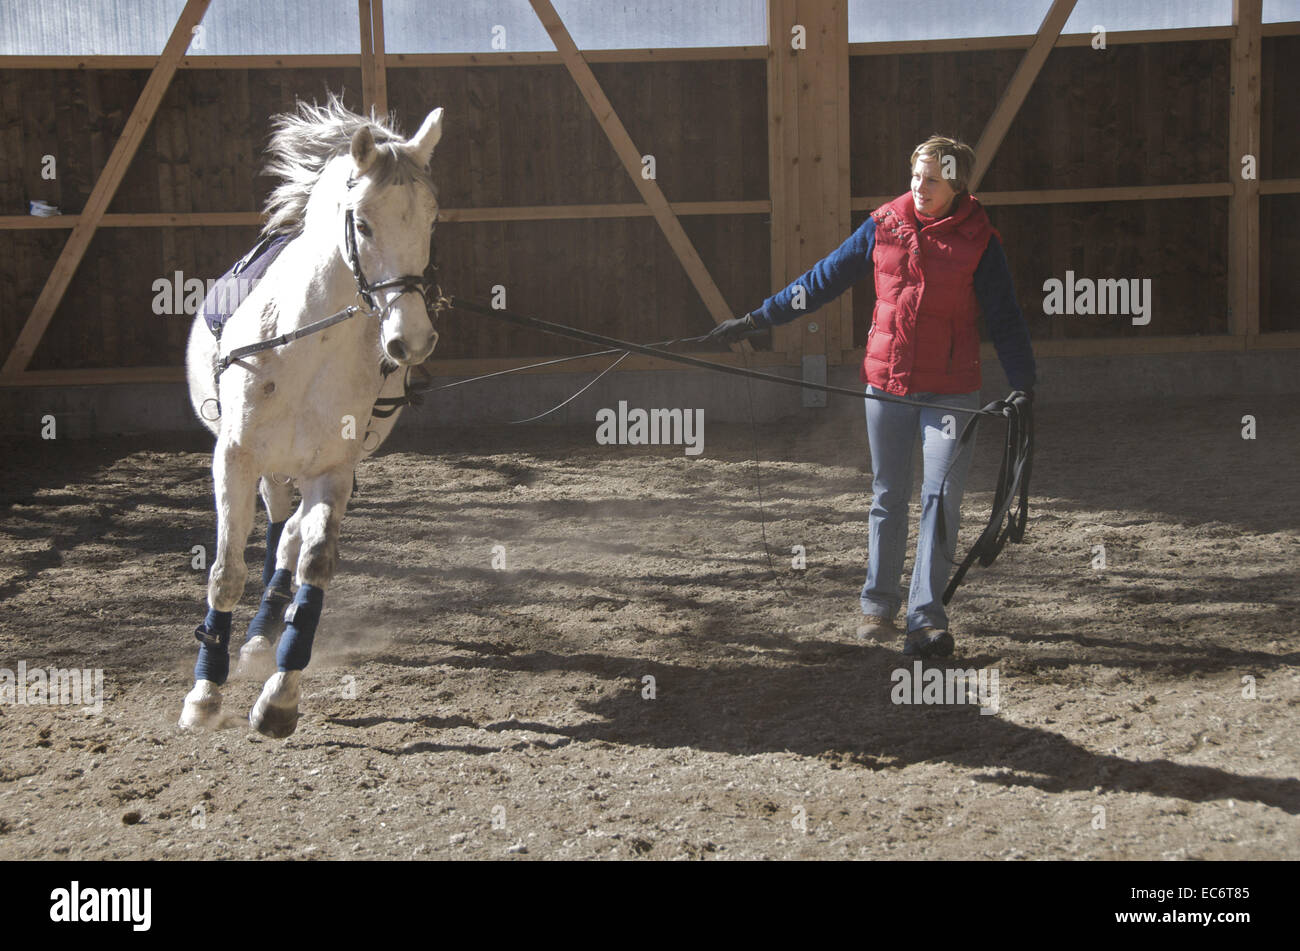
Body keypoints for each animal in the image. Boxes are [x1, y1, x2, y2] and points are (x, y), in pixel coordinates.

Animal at [180, 94, 447, 737]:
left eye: (431, 221)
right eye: (363, 222)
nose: (412, 340)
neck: (306, 343)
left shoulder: (333, 469)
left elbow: (314, 563)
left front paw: (280, 696)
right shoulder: (235, 459)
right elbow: (226, 571)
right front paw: (205, 693)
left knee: (290, 538)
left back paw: (259, 641)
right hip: (267, 467)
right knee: (279, 523)